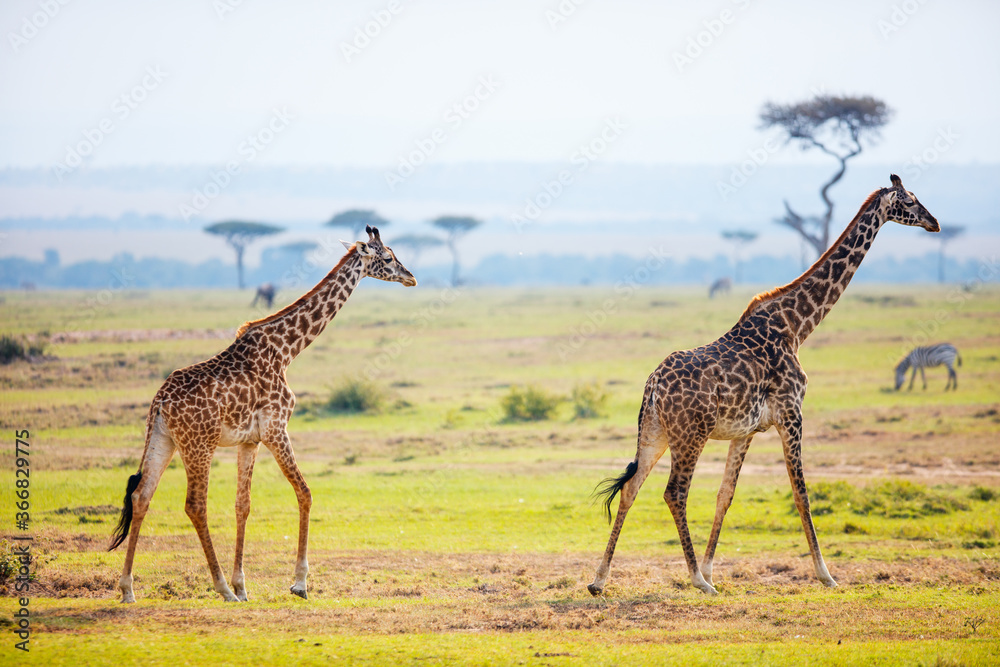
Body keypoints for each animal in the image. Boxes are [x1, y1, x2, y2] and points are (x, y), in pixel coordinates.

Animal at [108, 226, 416, 603]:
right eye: (387, 257)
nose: (411, 277)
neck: (286, 350)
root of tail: (161, 402)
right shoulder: (276, 429)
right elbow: (305, 492)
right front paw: (298, 583)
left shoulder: (249, 441)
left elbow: (243, 505)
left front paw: (243, 585)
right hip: (199, 444)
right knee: (195, 504)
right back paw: (221, 588)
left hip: (163, 439)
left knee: (141, 496)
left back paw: (128, 589)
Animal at [588, 175, 940, 596]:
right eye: (910, 200)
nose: (935, 223)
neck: (797, 326)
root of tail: (653, 386)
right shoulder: (791, 412)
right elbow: (801, 493)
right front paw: (826, 574)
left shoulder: (746, 431)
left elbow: (725, 496)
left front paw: (710, 570)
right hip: (691, 435)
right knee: (675, 492)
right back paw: (695, 582)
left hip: (655, 432)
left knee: (631, 488)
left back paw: (599, 580)